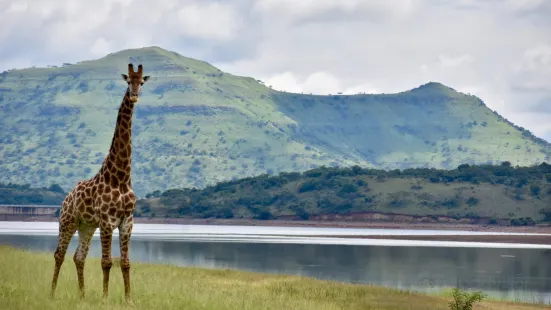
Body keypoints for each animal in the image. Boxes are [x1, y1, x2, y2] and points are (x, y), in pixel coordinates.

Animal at [51, 62, 150, 302]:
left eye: (141, 82)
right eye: (128, 81)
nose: (134, 96)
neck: (121, 176)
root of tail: (66, 197)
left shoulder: (127, 221)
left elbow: (125, 263)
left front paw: (128, 300)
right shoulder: (107, 221)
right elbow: (107, 262)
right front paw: (105, 299)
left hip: (86, 226)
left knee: (79, 257)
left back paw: (82, 295)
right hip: (67, 221)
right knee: (59, 254)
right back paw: (52, 293)